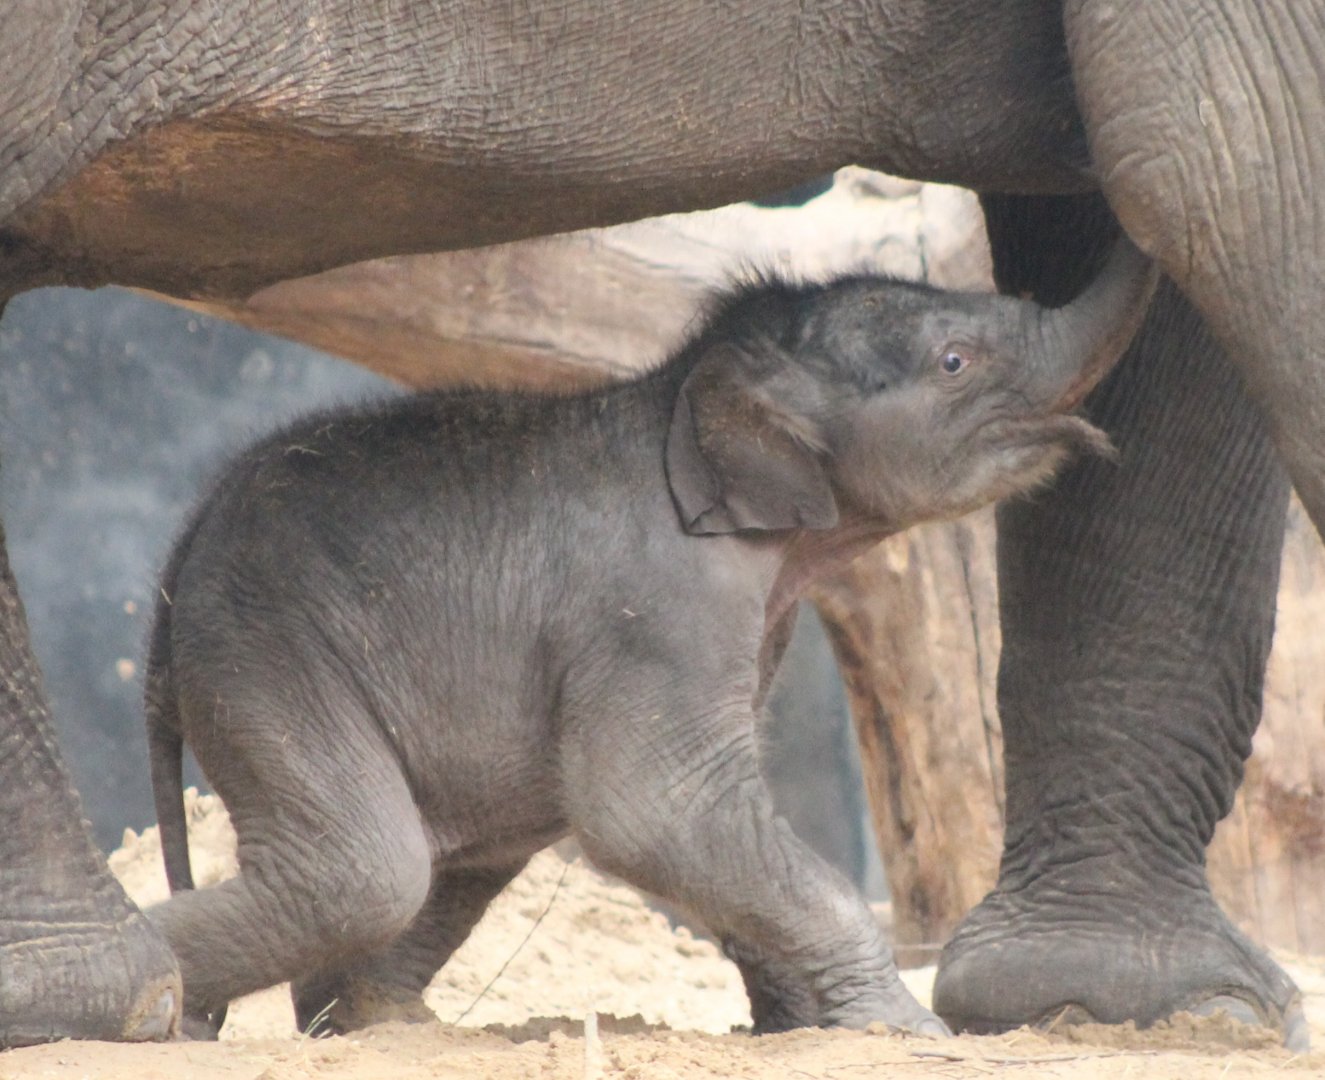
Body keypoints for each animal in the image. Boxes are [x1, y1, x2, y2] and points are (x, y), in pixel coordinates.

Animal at [144, 244, 1154, 1036]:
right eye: (954, 362)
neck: (684, 392)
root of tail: (181, 549)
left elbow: (709, 817)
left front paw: (795, 1029)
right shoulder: (660, 609)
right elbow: (655, 809)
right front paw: (907, 1032)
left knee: (458, 854)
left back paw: (380, 1026)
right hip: (265, 653)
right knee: (364, 873)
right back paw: (148, 996)